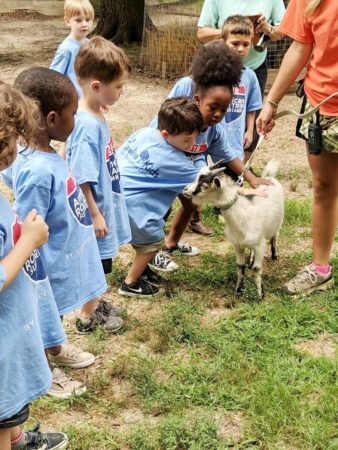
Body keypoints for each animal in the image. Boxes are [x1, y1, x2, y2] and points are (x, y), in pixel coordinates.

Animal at [184, 156, 284, 298]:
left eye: (204, 185)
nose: (185, 190)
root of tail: (270, 177)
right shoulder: (238, 244)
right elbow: (240, 266)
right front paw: (238, 290)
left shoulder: (260, 244)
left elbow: (257, 268)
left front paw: (260, 294)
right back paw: (251, 258)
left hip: (278, 222)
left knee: (275, 235)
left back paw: (275, 254)